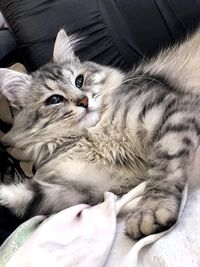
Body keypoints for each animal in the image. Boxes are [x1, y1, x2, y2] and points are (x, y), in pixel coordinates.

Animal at [0, 28, 200, 241]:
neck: (97, 135)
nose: (84, 101)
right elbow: (34, 197)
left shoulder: (173, 112)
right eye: (54, 100)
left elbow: (163, 172)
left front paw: (150, 211)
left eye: (79, 81)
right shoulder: (93, 189)